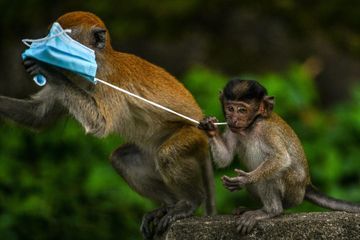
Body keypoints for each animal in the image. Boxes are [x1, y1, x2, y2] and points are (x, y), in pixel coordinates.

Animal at [0, 10, 215, 238]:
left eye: (62, 36)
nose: (42, 46)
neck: (94, 63)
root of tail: (205, 130)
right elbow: (38, 116)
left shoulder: (109, 81)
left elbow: (99, 124)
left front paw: (48, 69)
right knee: (124, 159)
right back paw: (169, 204)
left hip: (190, 135)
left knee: (167, 154)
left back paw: (190, 201)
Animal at [198, 79, 360, 234]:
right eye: (230, 108)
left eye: (242, 110)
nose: (233, 119)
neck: (251, 126)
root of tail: (306, 184)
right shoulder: (233, 129)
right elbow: (225, 158)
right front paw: (209, 127)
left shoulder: (268, 130)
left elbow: (281, 158)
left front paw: (245, 179)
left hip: (293, 189)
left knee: (272, 175)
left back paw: (270, 211)